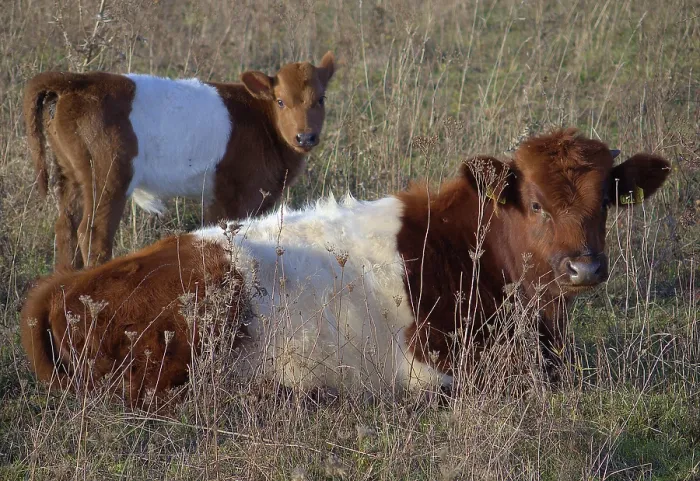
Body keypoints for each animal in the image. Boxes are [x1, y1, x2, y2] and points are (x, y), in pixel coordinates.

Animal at [23, 52, 336, 269]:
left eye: (321, 99)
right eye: (280, 101)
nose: (305, 137)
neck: (262, 120)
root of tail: (77, 80)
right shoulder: (236, 195)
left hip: (70, 171)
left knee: (66, 228)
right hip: (107, 174)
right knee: (92, 234)